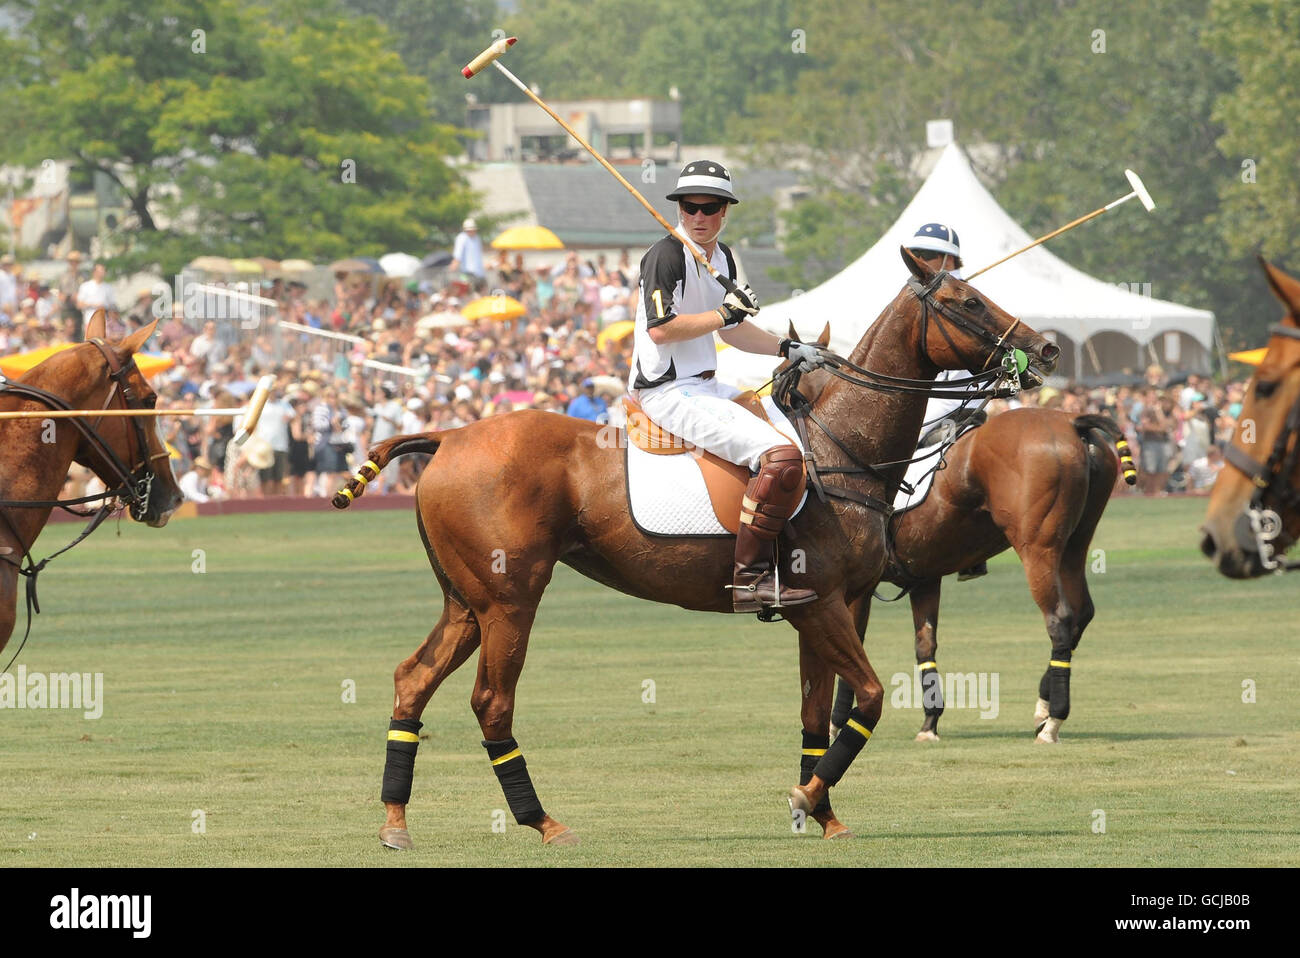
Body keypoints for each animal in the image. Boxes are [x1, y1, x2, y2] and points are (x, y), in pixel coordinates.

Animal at [335, 250, 1055, 847]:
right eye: (966, 300)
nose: (1045, 350)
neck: (839, 447)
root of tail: (449, 436)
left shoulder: (820, 609)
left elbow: (815, 715)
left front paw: (819, 813)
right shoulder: (822, 602)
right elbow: (872, 699)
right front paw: (805, 798)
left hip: (465, 601)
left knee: (412, 679)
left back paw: (395, 820)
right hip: (510, 600)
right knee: (491, 702)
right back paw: (541, 821)